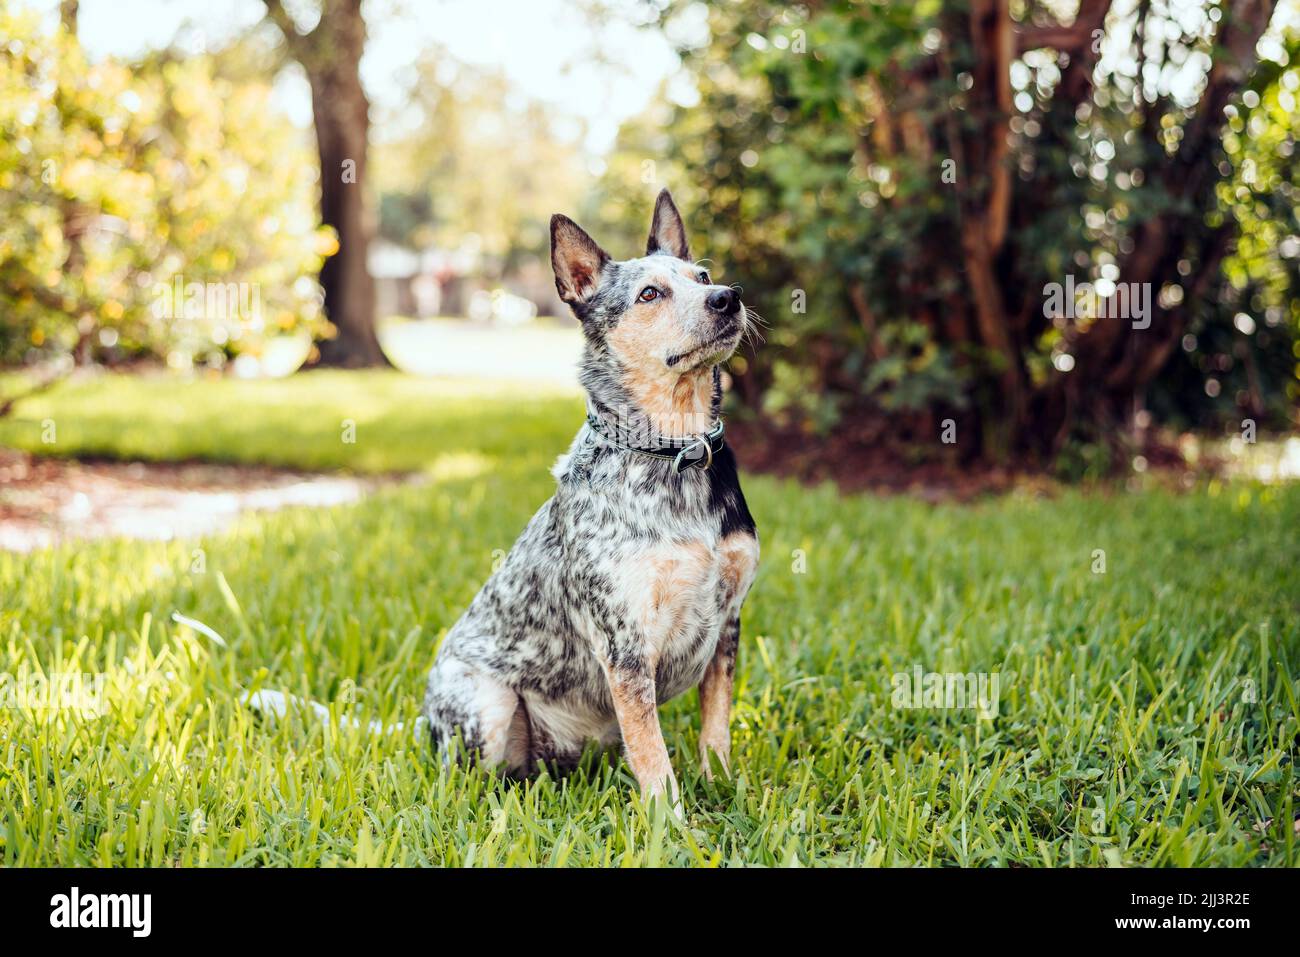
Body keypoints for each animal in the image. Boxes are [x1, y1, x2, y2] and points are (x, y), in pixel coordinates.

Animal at [421, 188, 759, 806]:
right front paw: (669, 819)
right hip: (486, 705)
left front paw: (723, 787)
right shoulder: (624, 642)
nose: (728, 296)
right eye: (649, 293)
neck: (676, 450)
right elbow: (652, 754)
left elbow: (715, 728)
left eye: (702, 276)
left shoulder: (728, 621)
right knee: (471, 776)